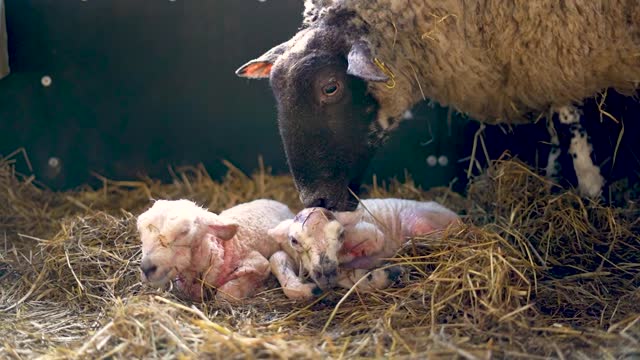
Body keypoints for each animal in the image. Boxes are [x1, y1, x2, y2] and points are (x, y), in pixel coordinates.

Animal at [236, 0, 640, 212]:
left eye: (330, 87)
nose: (316, 202)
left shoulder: (558, 53)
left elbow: (569, 121)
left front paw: (590, 192)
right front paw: (559, 184)